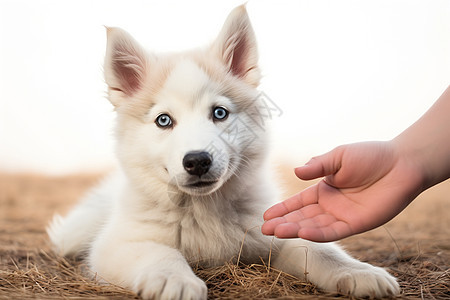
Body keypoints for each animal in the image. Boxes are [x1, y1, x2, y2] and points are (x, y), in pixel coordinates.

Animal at [47, 5, 400, 300]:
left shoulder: (269, 231)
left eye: (219, 113)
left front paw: (358, 272)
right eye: (164, 120)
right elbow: (161, 252)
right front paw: (176, 281)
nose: (197, 161)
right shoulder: (114, 246)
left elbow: (318, 250)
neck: (203, 211)